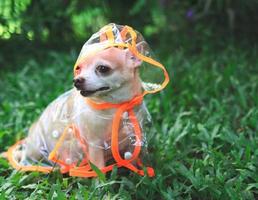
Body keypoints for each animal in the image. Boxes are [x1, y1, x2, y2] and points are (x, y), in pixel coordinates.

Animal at [15, 46, 149, 169]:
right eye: (78, 69)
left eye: (103, 68)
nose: (76, 80)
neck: (114, 106)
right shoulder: (95, 144)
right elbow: (100, 169)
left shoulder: (133, 140)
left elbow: (132, 160)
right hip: (37, 148)